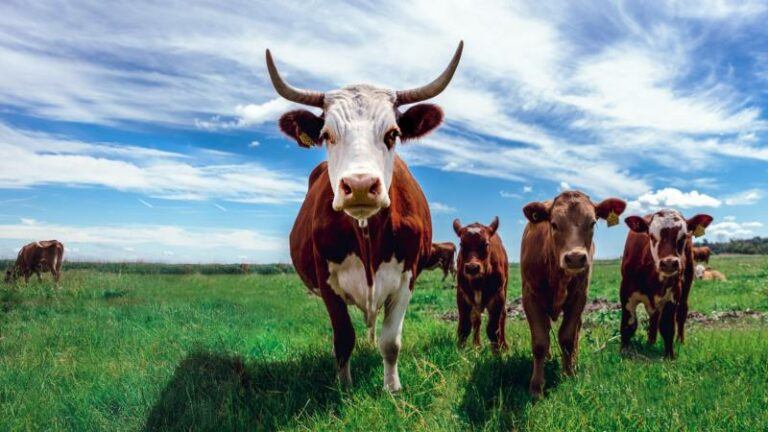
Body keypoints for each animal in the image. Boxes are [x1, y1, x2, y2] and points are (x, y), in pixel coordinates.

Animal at [268, 42, 463, 391]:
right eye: (327, 135)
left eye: (393, 134)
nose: (359, 186)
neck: (367, 235)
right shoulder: (327, 282)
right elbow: (344, 339)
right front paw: (344, 387)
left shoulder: (407, 277)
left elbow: (391, 341)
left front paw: (392, 387)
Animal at [453, 217, 508, 353]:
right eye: (462, 244)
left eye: (486, 244)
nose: (472, 267)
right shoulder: (462, 295)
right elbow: (464, 327)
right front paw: (460, 351)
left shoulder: (498, 296)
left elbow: (493, 329)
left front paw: (497, 353)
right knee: (476, 319)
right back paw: (477, 345)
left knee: (503, 316)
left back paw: (504, 345)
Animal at [521, 191, 626, 398]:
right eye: (554, 224)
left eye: (592, 223)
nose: (576, 258)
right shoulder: (530, 297)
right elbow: (540, 341)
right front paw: (536, 386)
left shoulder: (579, 297)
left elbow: (567, 338)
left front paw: (569, 375)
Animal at [621, 209, 713, 358]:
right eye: (652, 236)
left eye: (683, 237)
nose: (669, 262)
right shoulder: (626, 293)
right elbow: (628, 325)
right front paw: (624, 351)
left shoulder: (673, 294)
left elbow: (667, 326)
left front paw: (669, 355)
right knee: (653, 318)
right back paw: (650, 342)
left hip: (687, 281)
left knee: (681, 312)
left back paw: (680, 341)